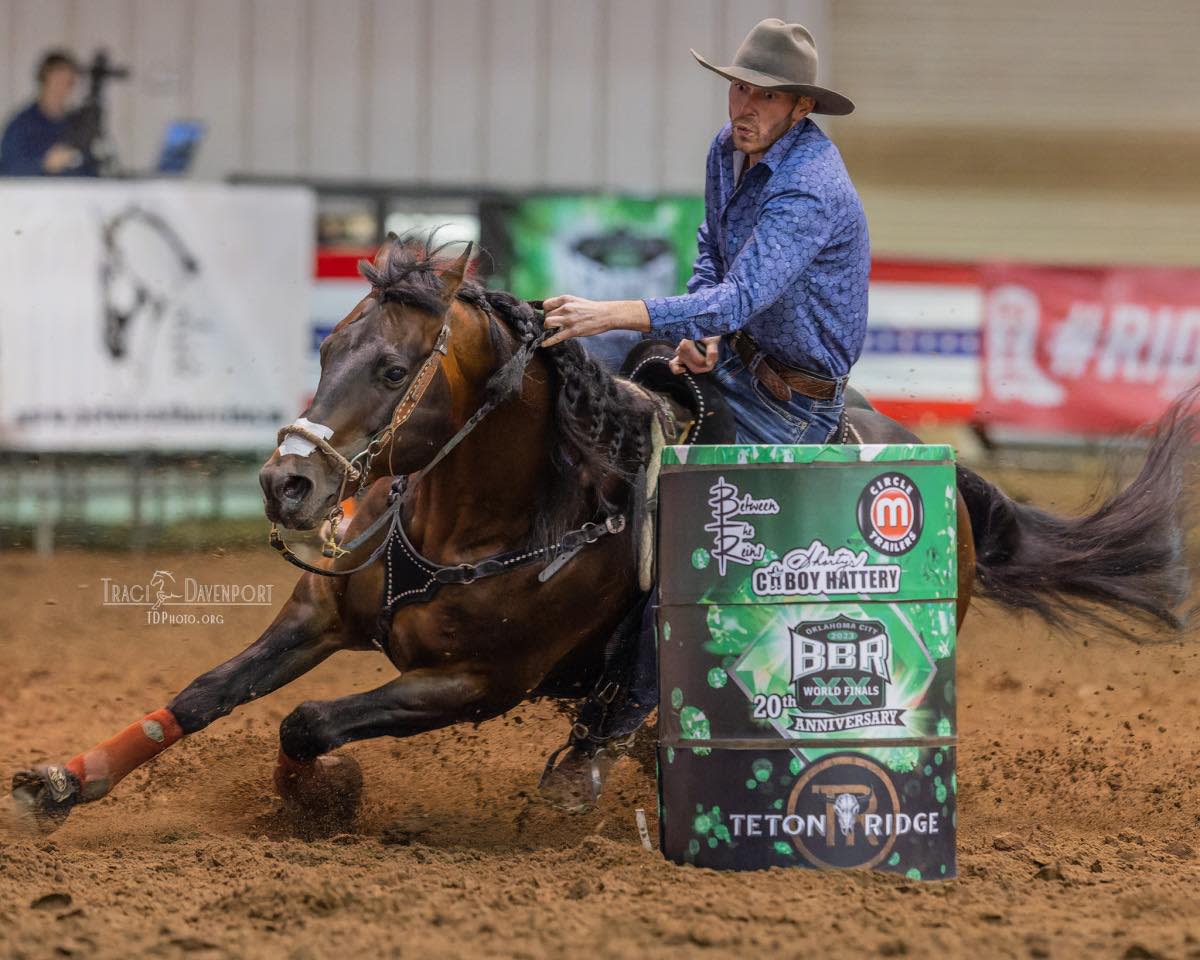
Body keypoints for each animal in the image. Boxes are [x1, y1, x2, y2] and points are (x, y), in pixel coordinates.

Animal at [11, 236, 1200, 830]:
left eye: (392, 369)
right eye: (327, 348)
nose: (286, 483)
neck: (482, 517)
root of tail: (947, 480)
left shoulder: (477, 685)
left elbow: (308, 721)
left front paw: (319, 800)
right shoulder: (317, 612)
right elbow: (207, 693)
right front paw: (66, 784)